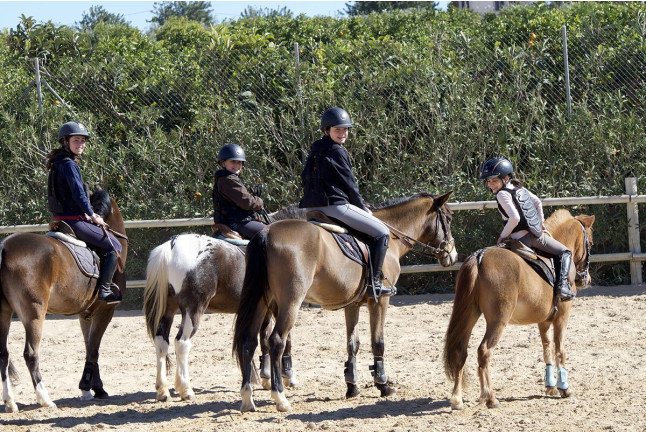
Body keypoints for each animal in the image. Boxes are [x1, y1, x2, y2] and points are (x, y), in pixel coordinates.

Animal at [0, 189, 128, 413]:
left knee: (3, 355)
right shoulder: (105, 311)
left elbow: (89, 347)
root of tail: (4, 248)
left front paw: (94, 388)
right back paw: (45, 399)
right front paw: (89, 388)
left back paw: (10, 403)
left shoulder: (85, 315)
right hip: (34, 314)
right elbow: (94, 349)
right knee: (31, 353)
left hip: (4, 313)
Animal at [143, 205, 304, 402]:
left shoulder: (264, 308)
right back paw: (186, 389)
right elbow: (284, 338)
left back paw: (162, 390)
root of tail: (172, 245)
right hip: (192, 309)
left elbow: (264, 338)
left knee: (161, 342)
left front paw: (266, 377)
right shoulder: (280, 305)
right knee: (181, 343)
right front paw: (288, 375)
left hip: (169, 309)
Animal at [233, 191, 458, 412]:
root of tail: (266, 233)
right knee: (276, 341)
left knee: (249, 340)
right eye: (448, 219)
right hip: (290, 302)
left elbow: (353, 344)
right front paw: (383, 385)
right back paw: (280, 398)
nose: (453, 255)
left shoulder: (352, 305)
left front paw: (352, 386)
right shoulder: (380, 301)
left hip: (262, 300)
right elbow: (378, 343)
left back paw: (247, 397)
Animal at [443, 209, 595, 410]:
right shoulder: (562, 317)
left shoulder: (543, 321)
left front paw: (550, 387)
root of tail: (479, 257)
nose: (586, 279)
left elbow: (546, 349)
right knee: (484, 352)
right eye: (590, 243)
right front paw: (564, 388)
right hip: (498, 321)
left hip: (470, 315)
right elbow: (560, 349)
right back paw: (490, 398)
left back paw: (457, 399)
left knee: (461, 351)